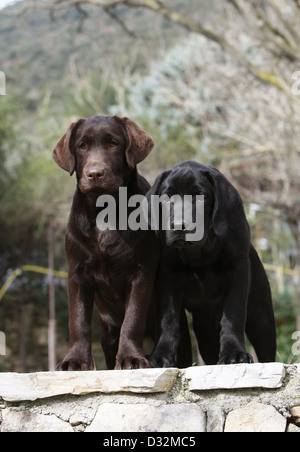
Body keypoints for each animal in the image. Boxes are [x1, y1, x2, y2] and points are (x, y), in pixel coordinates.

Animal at [149, 161, 278, 366]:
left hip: (261, 316)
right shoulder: (168, 275)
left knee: (267, 352)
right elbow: (167, 319)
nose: (178, 226)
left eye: (200, 196)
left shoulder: (237, 271)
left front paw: (235, 354)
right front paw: (161, 355)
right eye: (167, 196)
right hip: (204, 328)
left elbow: (233, 316)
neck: (201, 250)